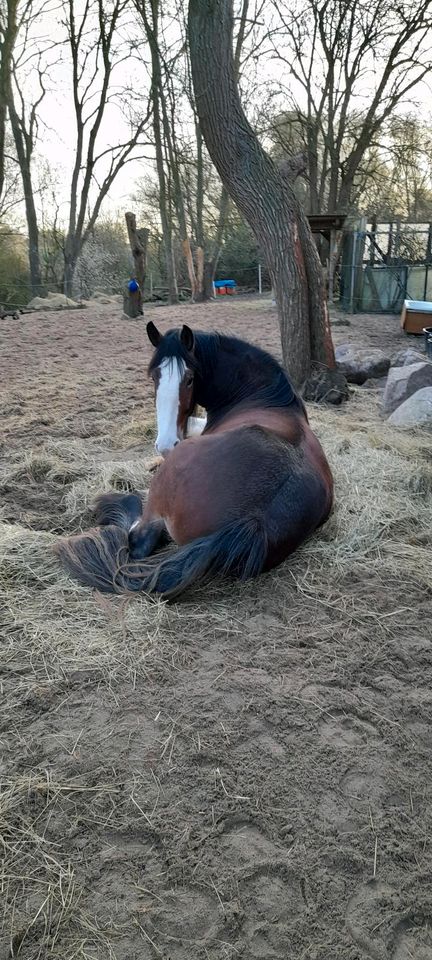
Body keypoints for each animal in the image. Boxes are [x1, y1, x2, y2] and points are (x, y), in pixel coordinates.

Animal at [54, 328, 334, 600]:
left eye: (189, 379)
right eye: (154, 377)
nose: (166, 443)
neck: (263, 396)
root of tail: (256, 519)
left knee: (140, 536)